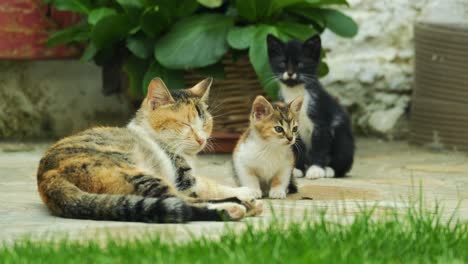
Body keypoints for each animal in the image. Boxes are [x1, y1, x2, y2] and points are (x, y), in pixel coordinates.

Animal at [35, 77, 264, 223]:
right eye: (185, 124)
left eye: (205, 123)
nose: (201, 139)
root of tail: (48, 178)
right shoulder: (184, 180)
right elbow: (205, 186)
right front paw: (244, 195)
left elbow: (211, 183)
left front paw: (246, 190)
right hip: (139, 174)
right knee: (181, 202)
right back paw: (238, 207)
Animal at [266, 34, 354, 178]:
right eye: (283, 63)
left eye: (300, 64)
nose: (290, 73)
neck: (295, 91)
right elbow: (296, 146)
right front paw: (297, 169)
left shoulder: (320, 118)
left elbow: (319, 145)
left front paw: (316, 169)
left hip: (342, 135)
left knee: (343, 157)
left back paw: (329, 170)